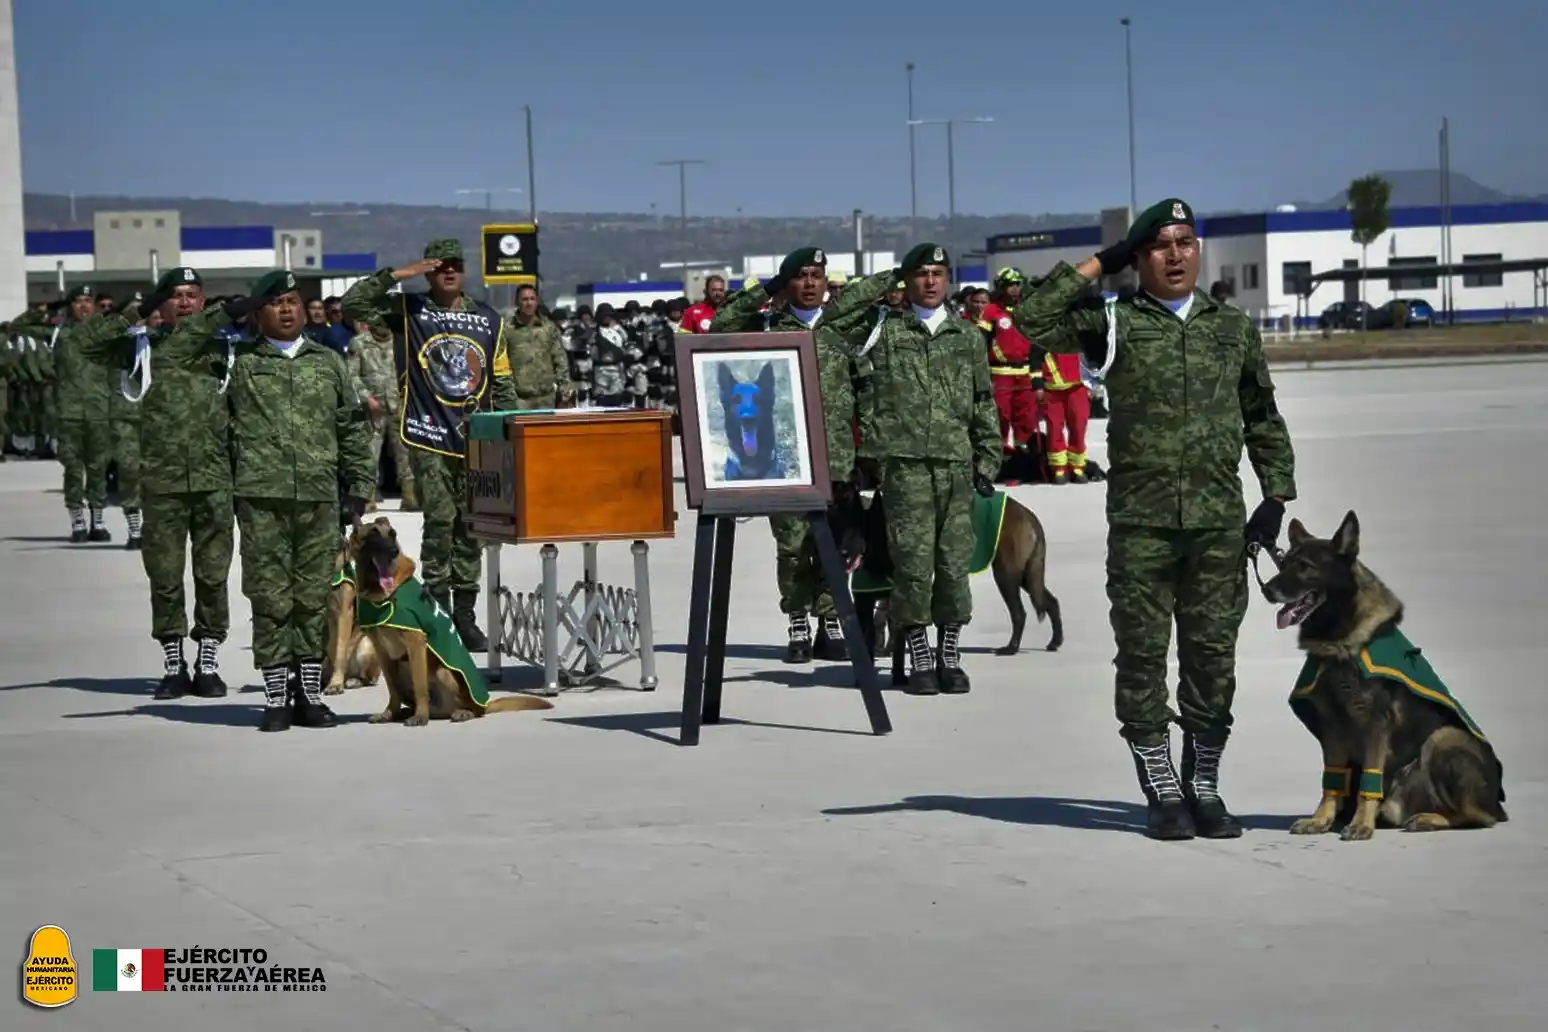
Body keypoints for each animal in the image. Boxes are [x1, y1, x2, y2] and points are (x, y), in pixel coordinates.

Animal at [325, 538, 382, 699]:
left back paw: (352, 680)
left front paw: (335, 684)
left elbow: (339, 651)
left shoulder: (344, 612)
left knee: (368, 678)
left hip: (366, 645)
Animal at [348, 516, 554, 727]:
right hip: (403, 669)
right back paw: (407, 712)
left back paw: (459, 712)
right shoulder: (382, 652)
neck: (381, 594)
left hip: (443, 672)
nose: (393, 551)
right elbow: (393, 689)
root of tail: (486, 704)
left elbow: (420, 686)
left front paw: (420, 717)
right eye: (373, 535)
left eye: (393, 535)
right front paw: (389, 713)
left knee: (468, 709)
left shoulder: (415, 642)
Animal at [835, 485, 1065, 686]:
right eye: (844, 527)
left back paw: (1011, 648)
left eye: (864, 528)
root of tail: (1027, 514)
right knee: (1051, 601)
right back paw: (1055, 641)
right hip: (1026, 577)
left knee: (1019, 613)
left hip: (1006, 575)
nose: (843, 552)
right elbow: (883, 623)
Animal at [1263, 513, 1504, 841]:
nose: (1266, 590)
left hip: (1444, 739)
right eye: (1284, 563)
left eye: (1305, 567)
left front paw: (1361, 824)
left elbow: (1370, 778)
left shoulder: (1376, 724)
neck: (1339, 643)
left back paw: (1428, 818)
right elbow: (1331, 781)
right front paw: (1321, 820)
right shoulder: (1331, 728)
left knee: (1478, 817)